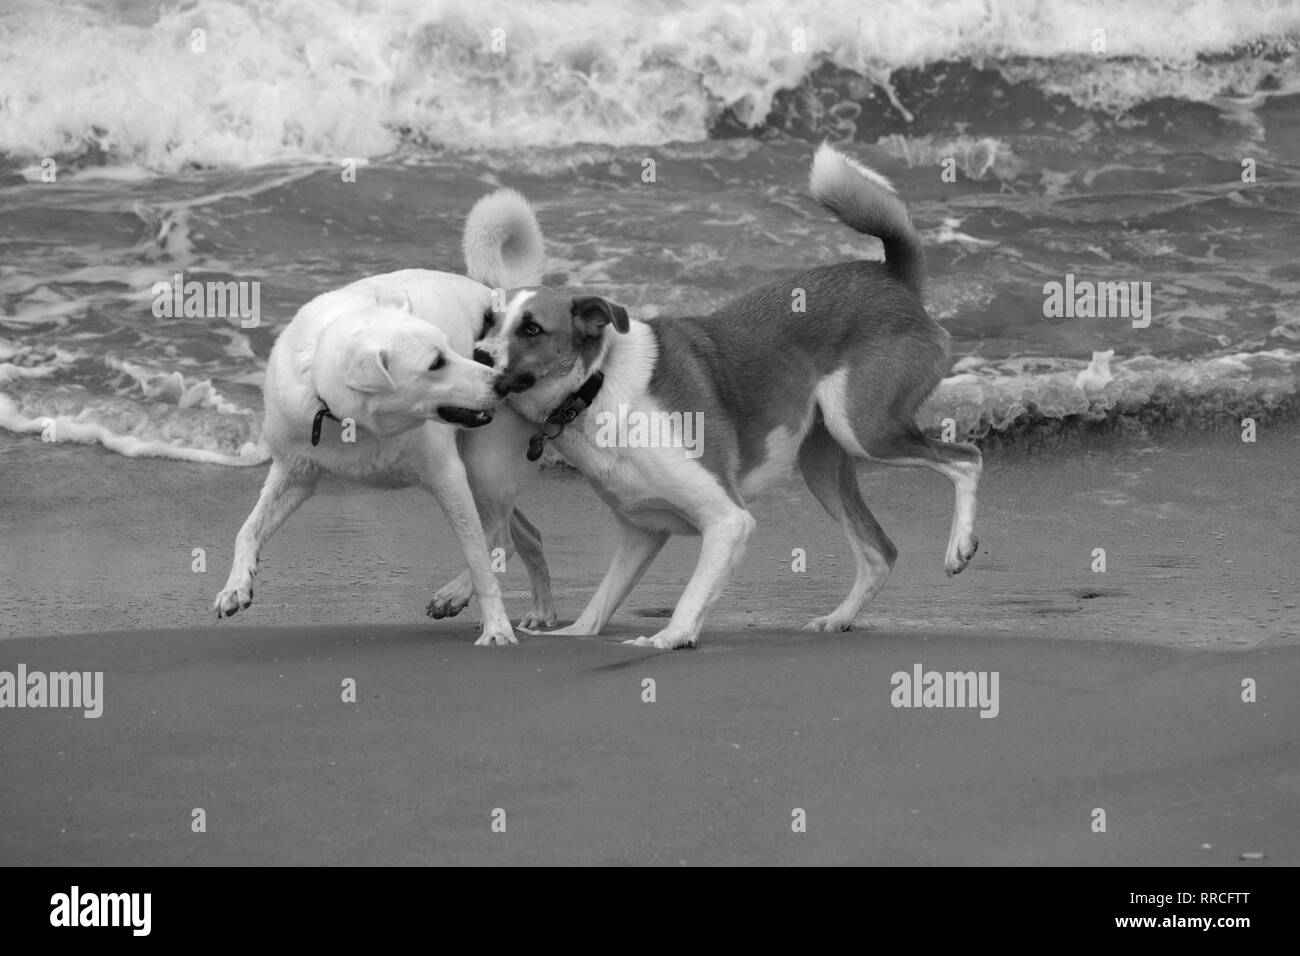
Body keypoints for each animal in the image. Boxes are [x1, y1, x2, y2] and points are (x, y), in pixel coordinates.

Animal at [211, 191, 553, 647]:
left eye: (454, 348)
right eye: (436, 363)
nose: (501, 382)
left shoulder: (447, 475)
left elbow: (479, 559)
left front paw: (496, 628)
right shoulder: (295, 473)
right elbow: (247, 528)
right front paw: (236, 587)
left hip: (484, 466)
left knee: (497, 538)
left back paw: (457, 597)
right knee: (523, 535)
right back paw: (535, 611)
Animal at [473, 143, 977, 650]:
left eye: (532, 329)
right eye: (487, 322)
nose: (476, 355)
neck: (596, 387)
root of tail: (891, 275)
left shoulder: (727, 520)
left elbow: (693, 594)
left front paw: (669, 636)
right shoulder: (642, 532)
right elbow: (600, 605)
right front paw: (575, 633)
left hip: (863, 428)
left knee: (965, 457)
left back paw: (959, 545)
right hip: (821, 462)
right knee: (879, 551)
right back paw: (837, 619)